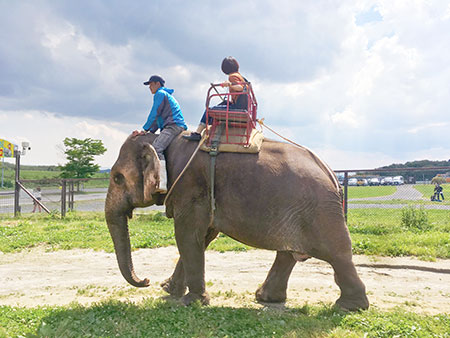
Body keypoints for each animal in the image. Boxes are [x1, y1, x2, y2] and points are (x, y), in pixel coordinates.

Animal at [105, 131, 370, 310]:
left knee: (337, 254)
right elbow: (202, 237)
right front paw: (170, 291)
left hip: (320, 213)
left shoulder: (191, 186)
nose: (147, 280)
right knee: (288, 253)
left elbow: (187, 235)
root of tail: (331, 174)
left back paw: (348, 307)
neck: (164, 140)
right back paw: (265, 298)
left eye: (117, 178)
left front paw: (191, 301)